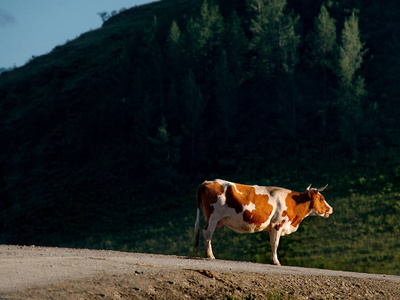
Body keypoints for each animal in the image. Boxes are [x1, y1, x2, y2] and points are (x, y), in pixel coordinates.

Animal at [192, 178, 332, 264]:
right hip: (213, 216)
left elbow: (272, 243)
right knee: (207, 233)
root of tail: (207, 182)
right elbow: (276, 243)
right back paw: (210, 255)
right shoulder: (277, 223)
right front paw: (276, 262)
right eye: (321, 198)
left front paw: (272, 260)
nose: (330, 209)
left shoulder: (271, 227)